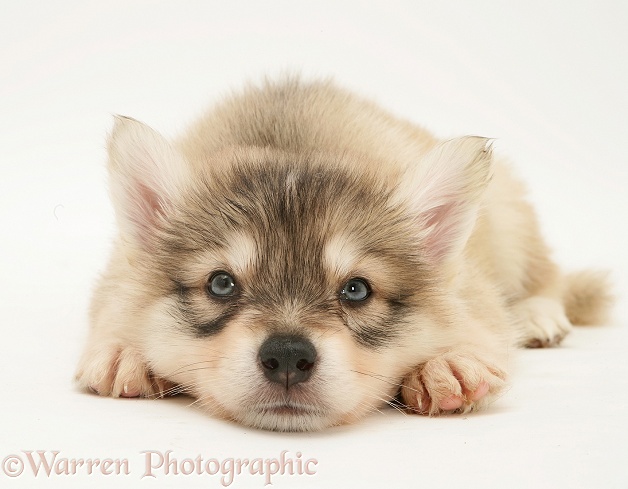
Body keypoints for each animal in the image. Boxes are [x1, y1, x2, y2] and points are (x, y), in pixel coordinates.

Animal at [76, 77, 612, 430]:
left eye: (356, 290)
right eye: (221, 283)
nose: (287, 356)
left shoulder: (477, 297)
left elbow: (481, 330)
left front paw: (449, 364)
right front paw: (123, 352)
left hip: (510, 217)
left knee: (546, 275)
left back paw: (538, 314)